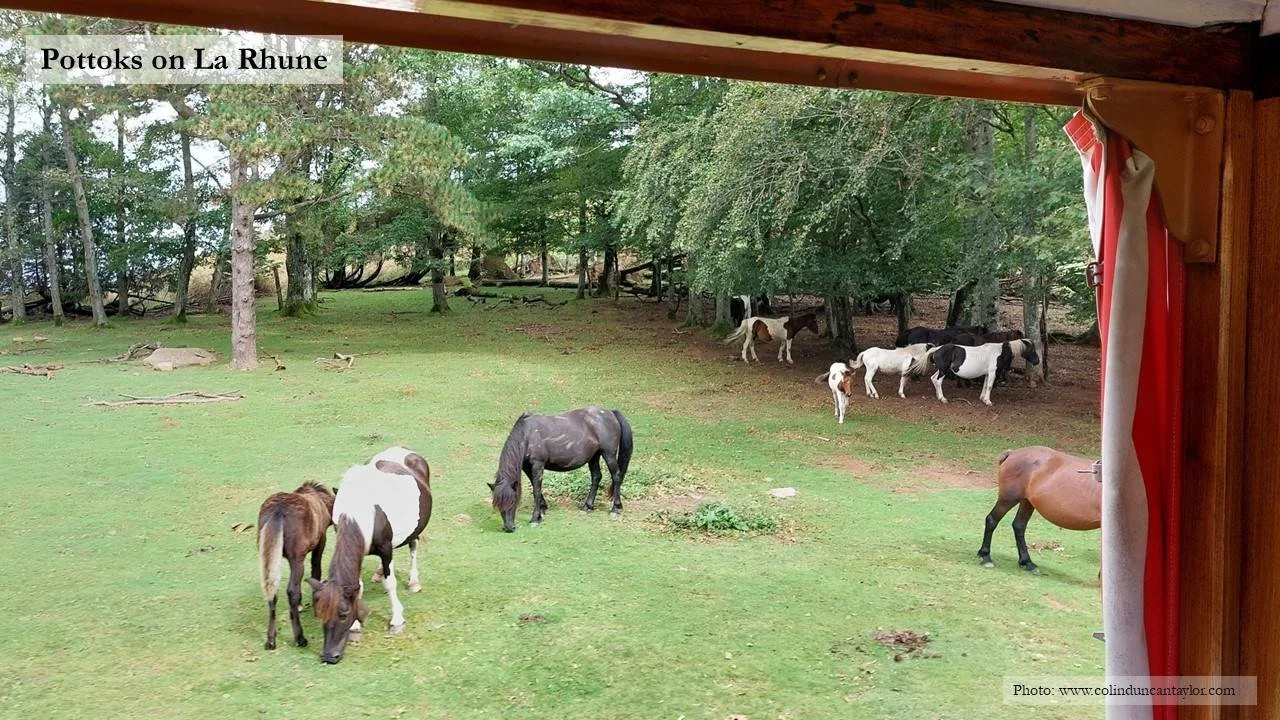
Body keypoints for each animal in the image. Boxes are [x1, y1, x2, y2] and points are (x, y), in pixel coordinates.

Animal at [257, 482, 335, 651]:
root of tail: (278, 510)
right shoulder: (321, 541)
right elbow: (316, 568)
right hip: (296, 560)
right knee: (292, 591)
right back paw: (300, 638)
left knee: (272, 591)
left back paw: (271, 640)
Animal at [308, 447, 432, 664]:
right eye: (320, 614)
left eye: (343, 614)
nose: (330, 656)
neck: (360, 511)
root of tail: (405, 450)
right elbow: (359, 586)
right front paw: (356, 627)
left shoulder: (385, 548)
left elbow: (390, 583)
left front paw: (397, 620)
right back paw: (379, 572)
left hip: (415, 530)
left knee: (413, 546)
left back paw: (413, 581)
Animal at [490, 406, 634, 532]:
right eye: (497, 504)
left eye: (513, 501)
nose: (509, 527)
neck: (527, 435)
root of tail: (610, 413)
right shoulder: (526, 467)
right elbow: (535, 487)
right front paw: (542, 508)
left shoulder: (537, 465)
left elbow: (536, 490)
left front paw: (535, 518)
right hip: (594, 456)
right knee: (596, 477)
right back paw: (586, 506)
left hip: (608, 454)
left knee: (616, 476)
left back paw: (615, 508)